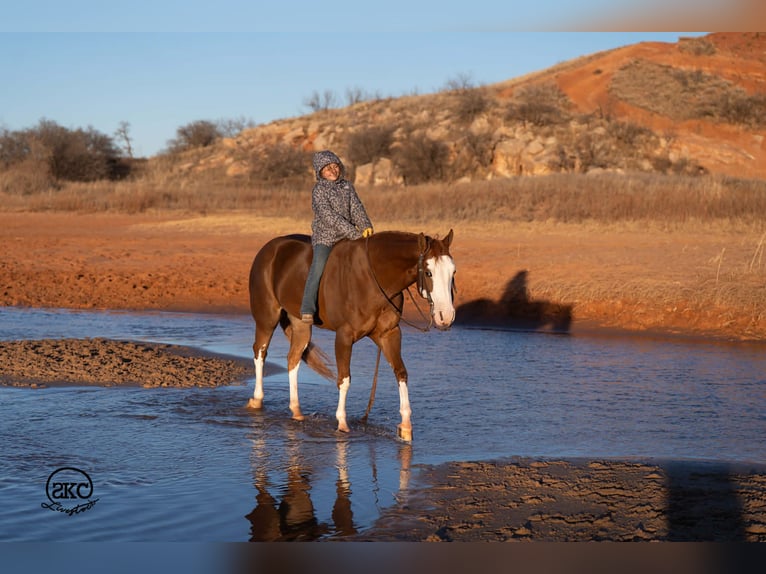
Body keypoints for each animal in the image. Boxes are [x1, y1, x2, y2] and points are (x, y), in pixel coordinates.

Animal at [247, 230, 456, 441]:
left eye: (453, 272)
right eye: (428, 272)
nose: (446, 317)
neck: (374, 280)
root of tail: (270, 248)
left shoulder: (389, 334)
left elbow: (401, 373)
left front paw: (405, 427)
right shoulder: (344, 336)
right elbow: (344, 379)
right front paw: (342, 423)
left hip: (300, 326)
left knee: (293, 359)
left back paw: (296, 411)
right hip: (267, 318)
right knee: (260, 352)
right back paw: (257, 400)